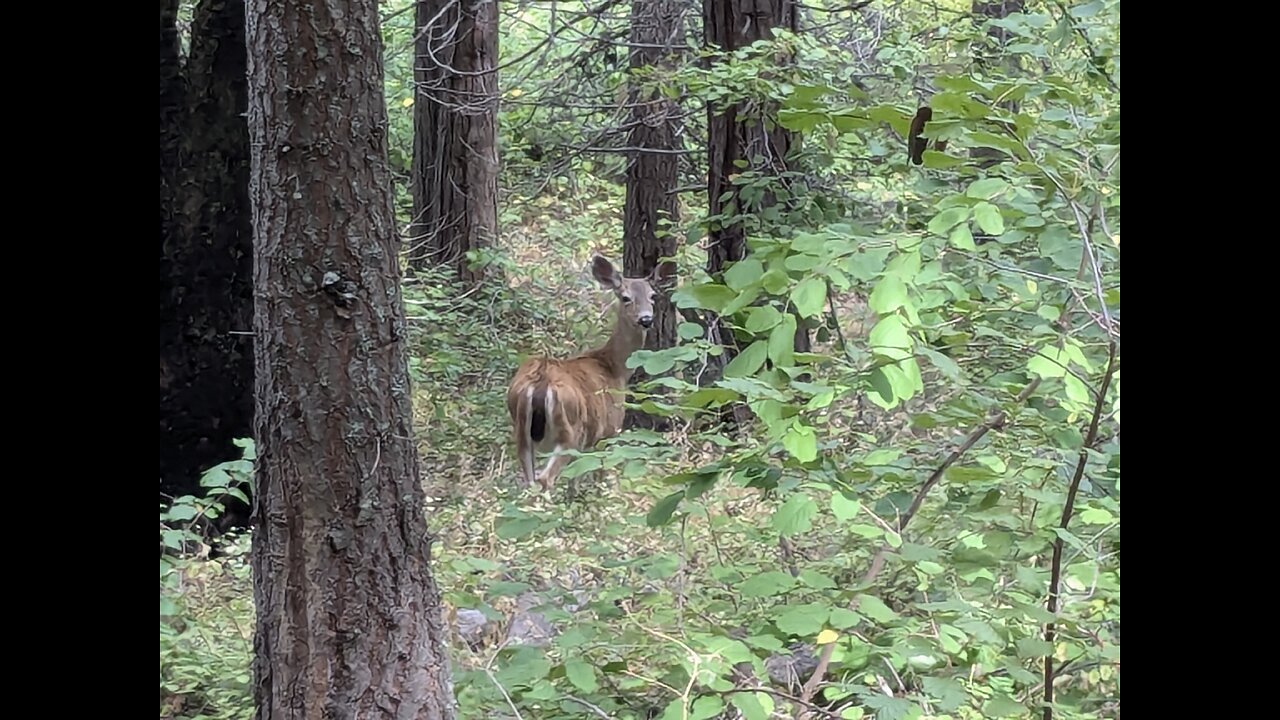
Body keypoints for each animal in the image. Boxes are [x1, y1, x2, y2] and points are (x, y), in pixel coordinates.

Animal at [501, 253, 655, 491]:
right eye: (625, 297)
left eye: (652, 296)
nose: (646, 319)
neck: (615, 367)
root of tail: (541, 381)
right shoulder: (609, 432)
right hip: (569, 432)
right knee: (546, 479)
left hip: (522, 433)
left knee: (530, 480)